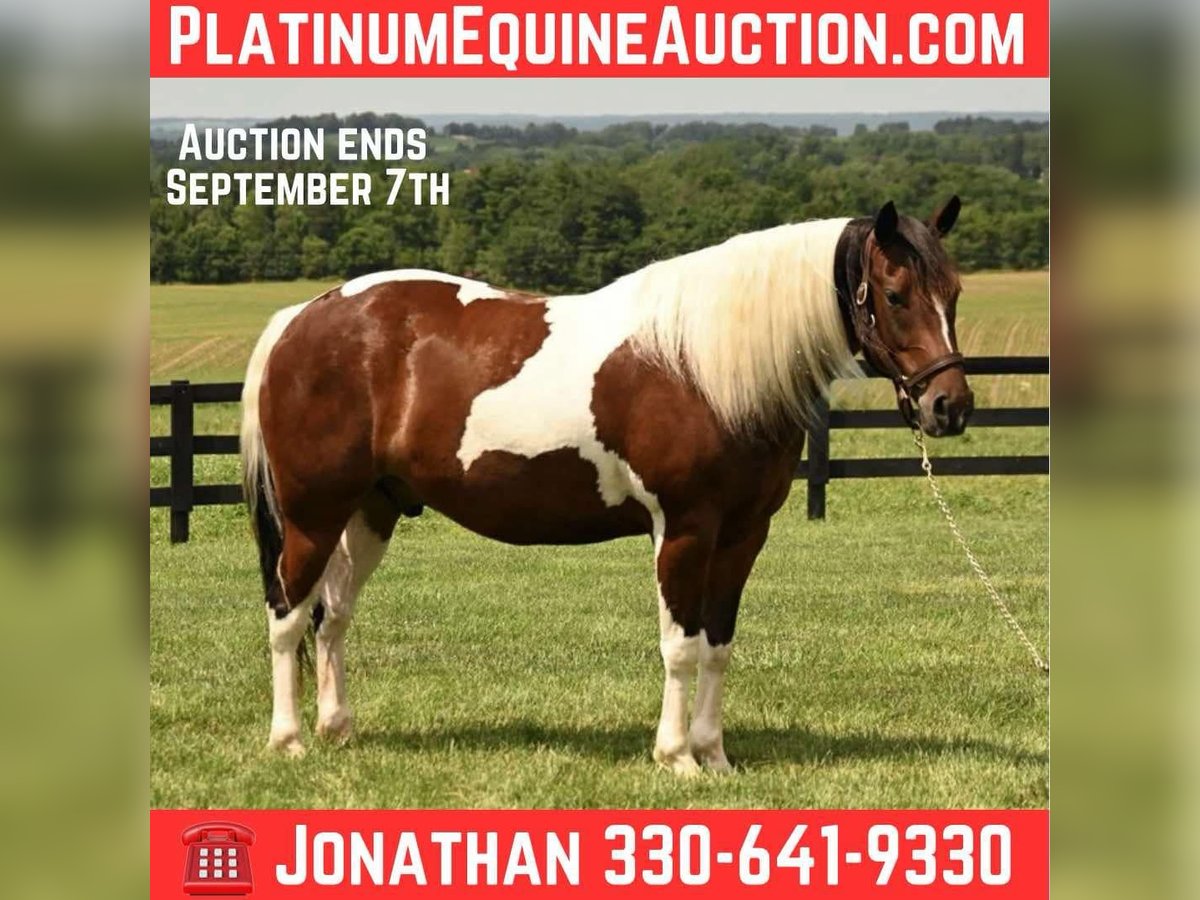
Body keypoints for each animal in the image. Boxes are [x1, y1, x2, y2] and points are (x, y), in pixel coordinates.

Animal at [239, 197, 973, 772]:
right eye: (896, 295)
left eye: (955, 294)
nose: (950, 406)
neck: (701, 367)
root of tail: (302, 318)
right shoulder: (684, 531)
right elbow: (680, 646)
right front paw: (676, 757)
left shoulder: (743, 536)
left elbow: (718, 646)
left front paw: (715, 754)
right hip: (312, 514)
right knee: (288, 613)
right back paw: (289, 740)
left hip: (371, 511)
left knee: (334, 616)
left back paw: (338, 729)